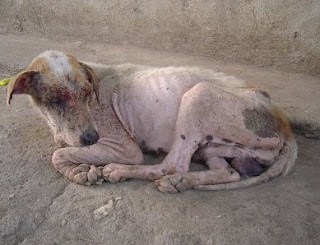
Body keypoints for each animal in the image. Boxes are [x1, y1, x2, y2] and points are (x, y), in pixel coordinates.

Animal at [6, 50, 298, 193]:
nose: (91, 138)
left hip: (199, 95)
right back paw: (181, 183)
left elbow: (57, 154)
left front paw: (79, 171)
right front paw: (78, 169)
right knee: (228, 172)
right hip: (214, 147)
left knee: (172, 165)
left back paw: (121, 172)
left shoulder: (123, 147)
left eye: (86, 94)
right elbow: (63, 148)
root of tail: (285, 124)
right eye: (56, 100)